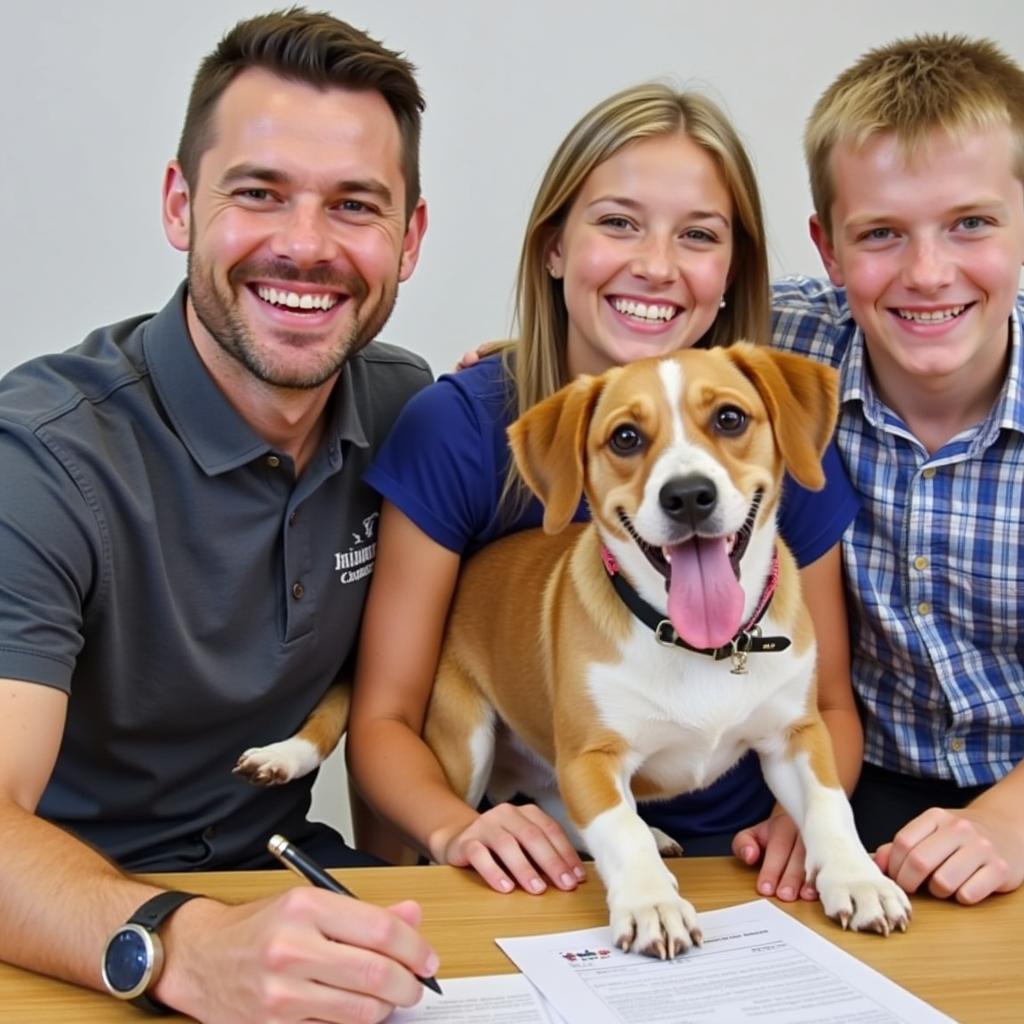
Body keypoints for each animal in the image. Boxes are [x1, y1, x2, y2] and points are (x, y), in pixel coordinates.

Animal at [237, 344, 913, 958]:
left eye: (729, 418)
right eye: (625, 437)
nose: (688, 495)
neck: (699, 645)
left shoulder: (799, 734)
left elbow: (829, 807)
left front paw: (858, 880)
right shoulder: (591, 756)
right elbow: (618, 828)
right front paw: (652, 902)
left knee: (557, 801)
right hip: (466, 744)